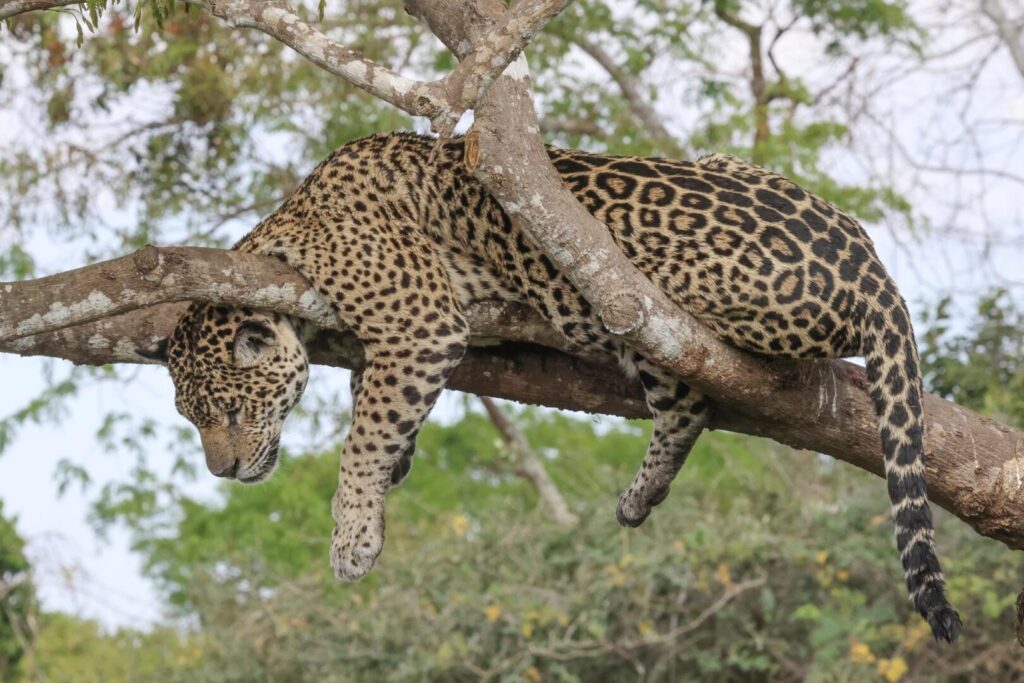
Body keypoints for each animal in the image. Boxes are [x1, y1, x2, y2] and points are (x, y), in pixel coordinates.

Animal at [140, 132, 961, 642]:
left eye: (229, 411)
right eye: (192, 417)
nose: (224, 469)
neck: (280, 234)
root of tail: (872, 265)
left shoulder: (420, 317)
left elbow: (363, 435)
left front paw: (354, 537)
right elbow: (377, 403)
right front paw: (396, 464)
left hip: (639, 301)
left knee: (697, 388)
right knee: (686, 407)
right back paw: (641, 497)